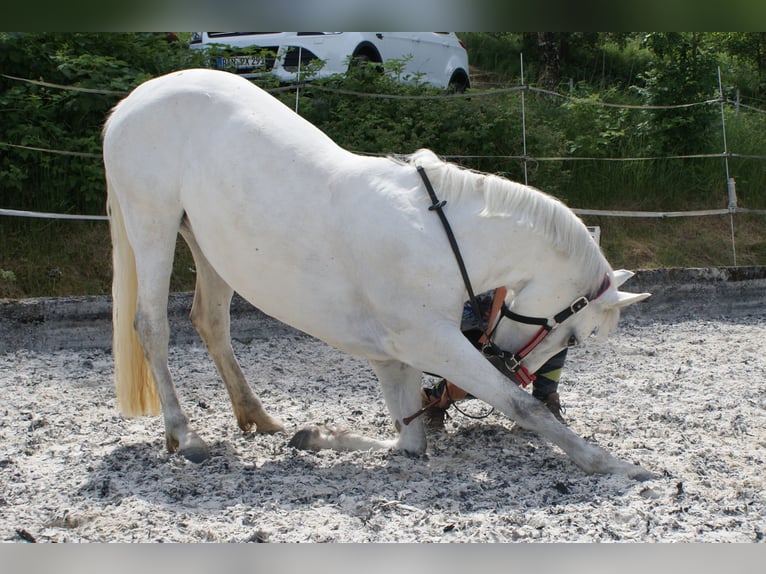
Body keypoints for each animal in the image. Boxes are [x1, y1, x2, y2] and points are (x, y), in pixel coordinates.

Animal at [103, 68, 656, 482]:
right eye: (577, 337)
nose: (509, 362)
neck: (441, 236)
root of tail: (133, 100)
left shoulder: (396, 359)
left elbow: (407, 442)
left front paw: (317, 436)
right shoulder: (431, 342)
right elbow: (520, 407)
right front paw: (614, 465)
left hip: (208, 244)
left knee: (212, 323)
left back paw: (259, 418)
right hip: (152, 221)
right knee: (152, 326)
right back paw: (186, 436)